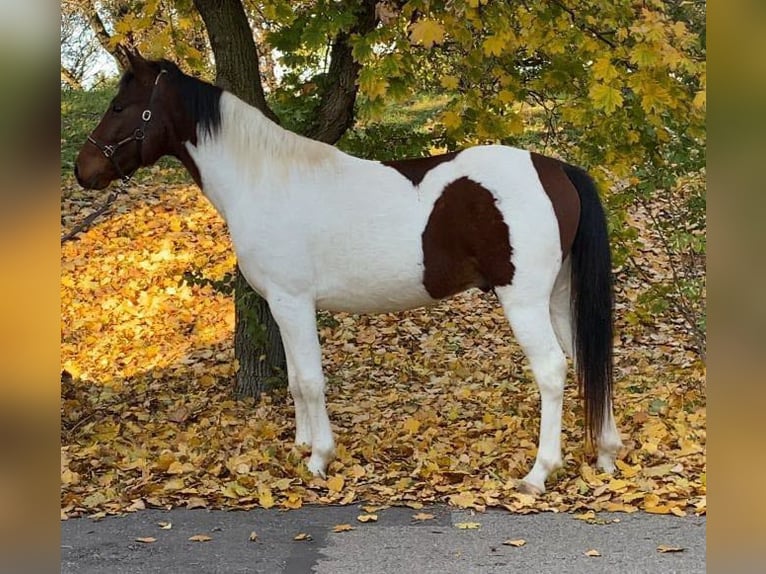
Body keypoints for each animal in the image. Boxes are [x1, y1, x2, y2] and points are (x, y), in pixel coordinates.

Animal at [73, 51, 624, 498]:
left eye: (121, 106)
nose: (83, 170)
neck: (265, 179)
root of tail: (556, 169)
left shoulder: (293, 302)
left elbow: (311, 380)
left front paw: (319, 459)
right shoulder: (281, 305)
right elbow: (296, 382)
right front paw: (301, 447)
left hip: (523, 300)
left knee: (552, 369)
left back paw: (538, 473)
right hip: (557, 296)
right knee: (587, 360)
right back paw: (605, 452)